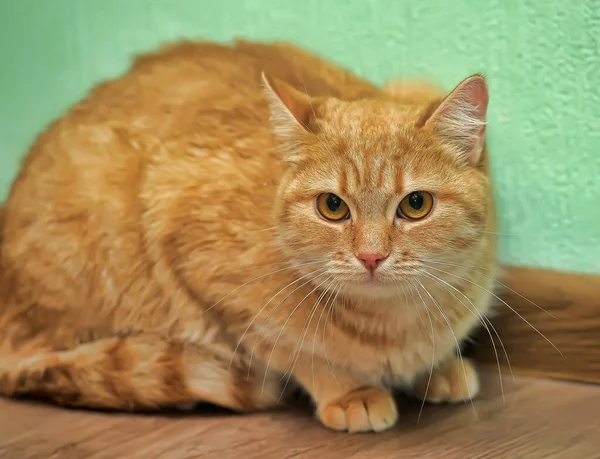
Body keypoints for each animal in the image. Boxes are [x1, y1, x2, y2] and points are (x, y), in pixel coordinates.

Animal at [0, 38, 496, 432]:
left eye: (416, 205)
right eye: (332, 207)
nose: (371, 257)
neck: (395, 324)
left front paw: (438, 368)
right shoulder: (208, 279)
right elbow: (299, 353)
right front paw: (348, 391)